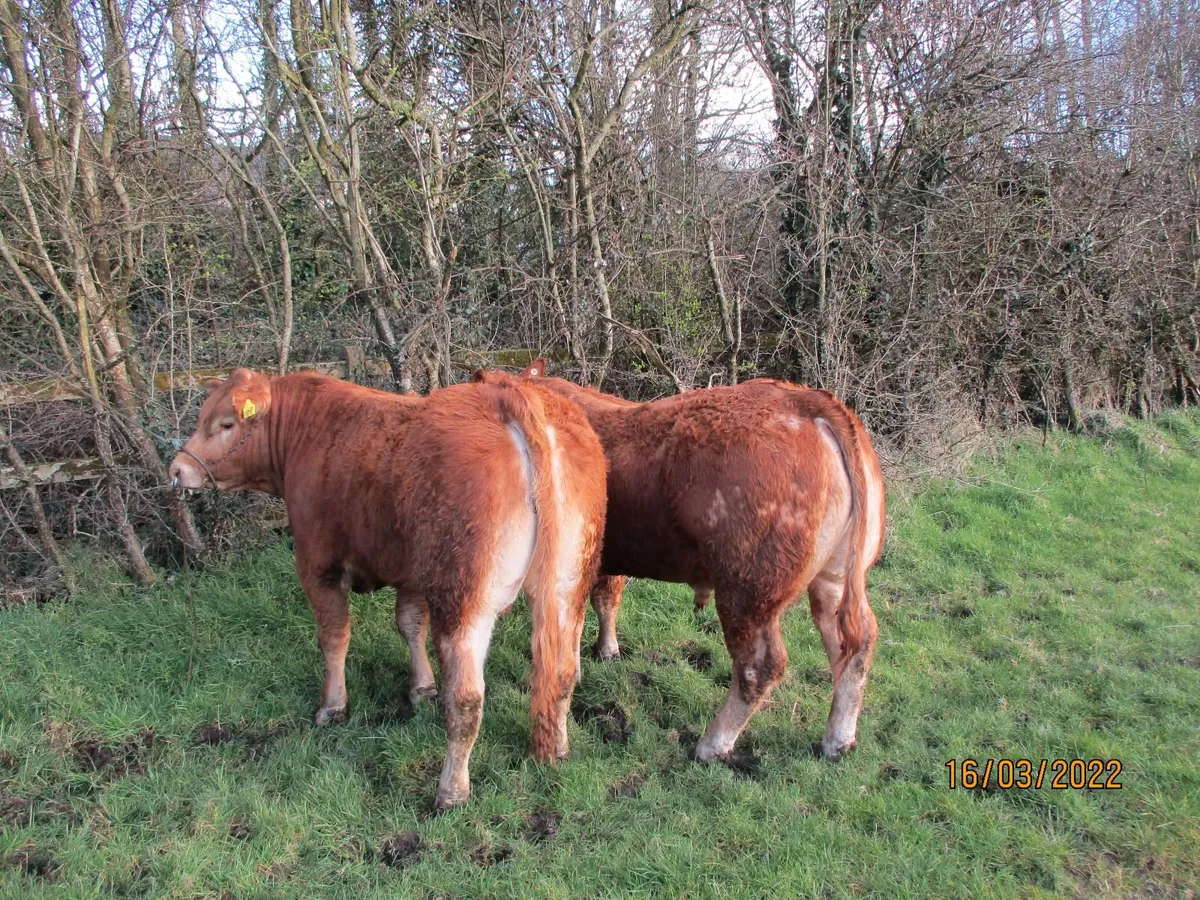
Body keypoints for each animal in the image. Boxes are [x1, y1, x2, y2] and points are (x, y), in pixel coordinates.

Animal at [168, 368, 606, 808]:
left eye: (226, 423)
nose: (177, 469)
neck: (308, 430)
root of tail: (510, 395)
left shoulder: (318, 564)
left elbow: (334, 638)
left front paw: (333, 707)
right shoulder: (411, 573)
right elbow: (410, 625)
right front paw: (421, 687)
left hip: (464, 600)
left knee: (466, 700)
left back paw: (451, 790)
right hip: (567, 585)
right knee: (562, 672)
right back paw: (558, 748)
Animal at [474, 362, 885, 764]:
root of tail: (804, 400)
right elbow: (605, 600)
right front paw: (606, 651)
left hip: (748, 590)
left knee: (760, 666)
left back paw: (712, 745)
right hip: (834, 578)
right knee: (854, 643)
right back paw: (837, 738)